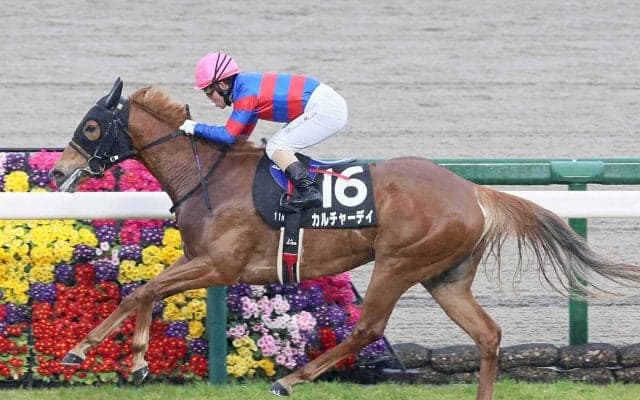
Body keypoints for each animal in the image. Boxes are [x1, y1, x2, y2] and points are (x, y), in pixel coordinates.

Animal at [50, 78, 640, 400]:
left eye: (92, 127)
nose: (57, 173)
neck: (210, 174)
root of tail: (471, 189)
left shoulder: (221, 264)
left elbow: (142, 289)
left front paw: (85, 350)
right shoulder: (203, 261)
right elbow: (146, 292)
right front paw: (134, 361)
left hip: (398, 264)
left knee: (367, 328)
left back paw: (290, 379)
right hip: (445, 278)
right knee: (489, 335)